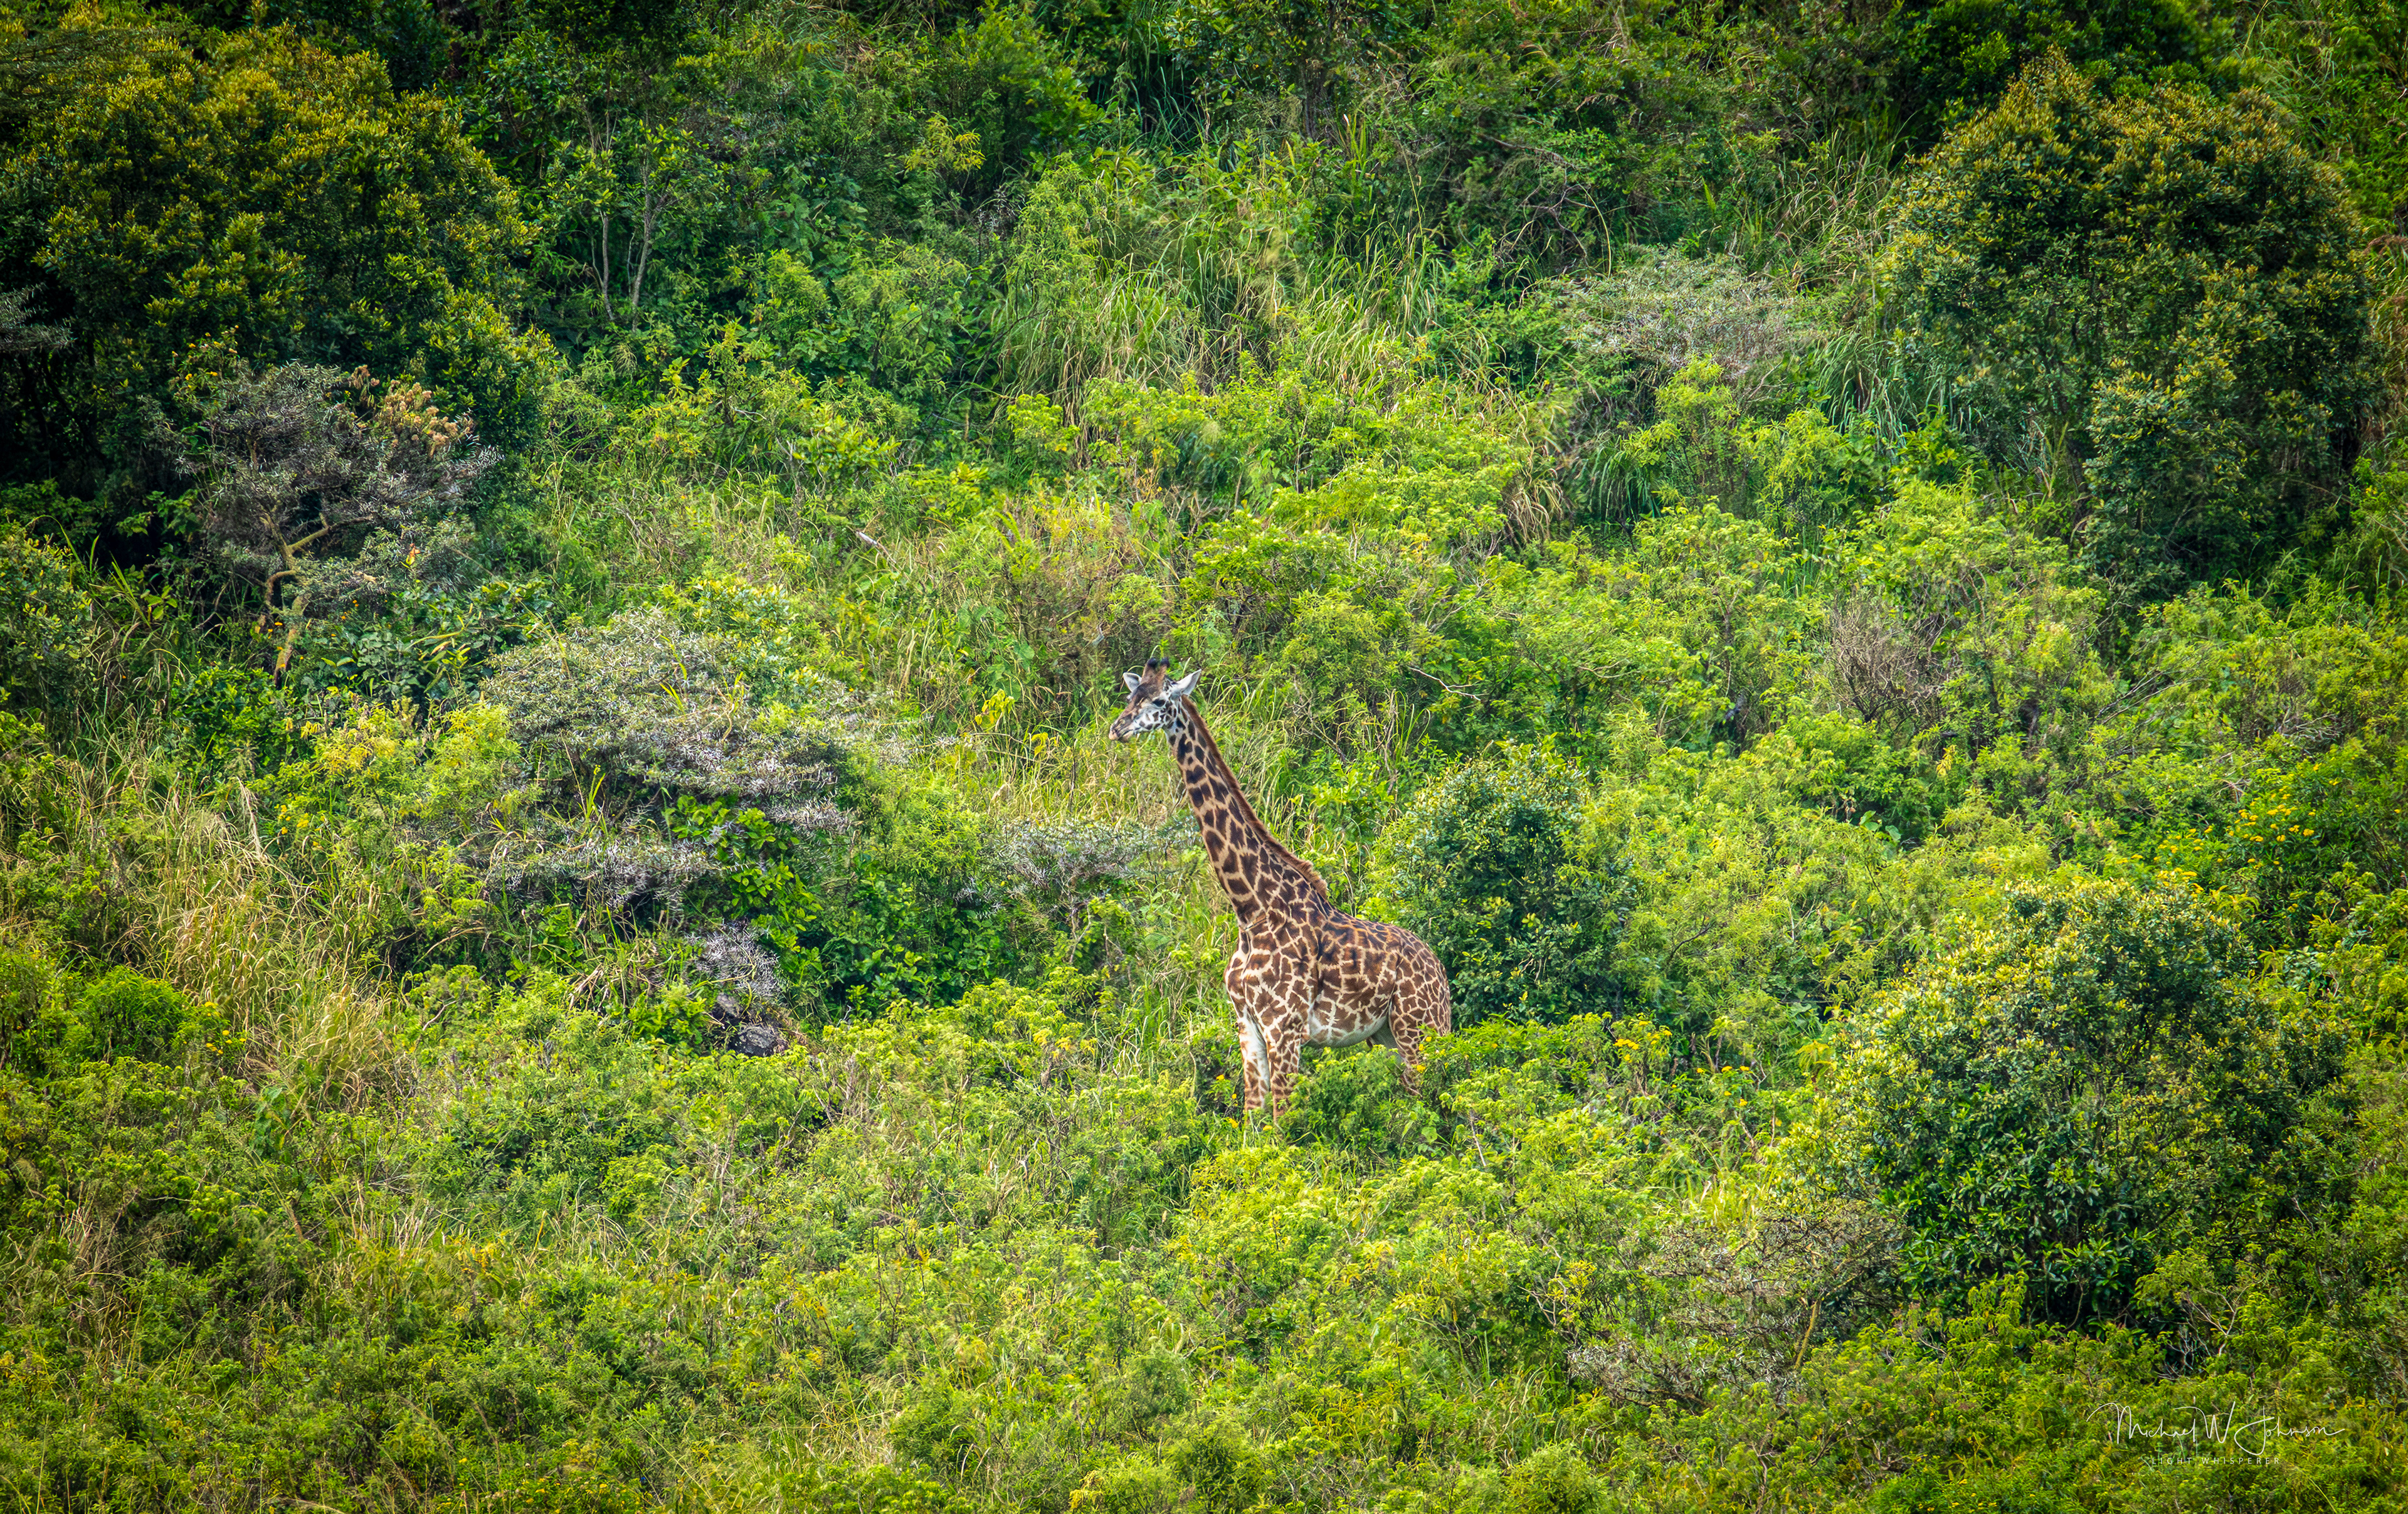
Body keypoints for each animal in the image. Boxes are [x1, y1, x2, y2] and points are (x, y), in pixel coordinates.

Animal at [1109, 660, 1452, 1116]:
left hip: (1422, 1028)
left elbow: (1282, 1119)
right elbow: (1253, 1118)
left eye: (1161, 700)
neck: (1250, 908)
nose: (1118, 729)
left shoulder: (1285, 1028)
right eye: (1131, 696)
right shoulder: (1247, 1024)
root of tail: (1440, 971)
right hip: (1388, 1036)